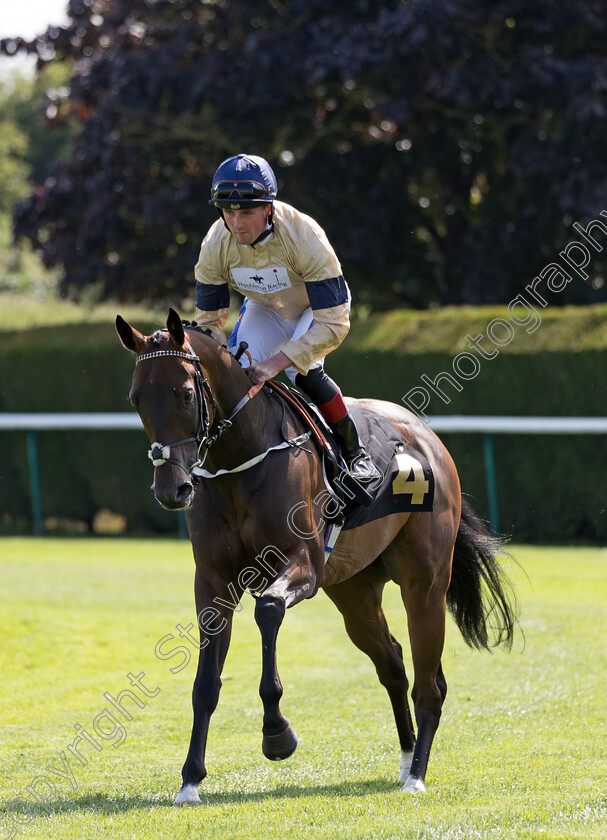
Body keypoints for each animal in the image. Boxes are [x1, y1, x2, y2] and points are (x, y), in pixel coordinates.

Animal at [117, 306, 516, 800]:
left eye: (186, 393)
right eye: (136, 398)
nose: (172, 489)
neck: (241, 456)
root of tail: (429, 440)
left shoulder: (302, 565)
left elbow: (268, 609)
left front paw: (276, 733)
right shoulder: (212, 580)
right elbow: (205, 682)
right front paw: (190, 778)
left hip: (424, 585)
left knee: (430, 683)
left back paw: (417, 775)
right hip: (353, 591)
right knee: (392, 662)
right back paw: (406, 759)